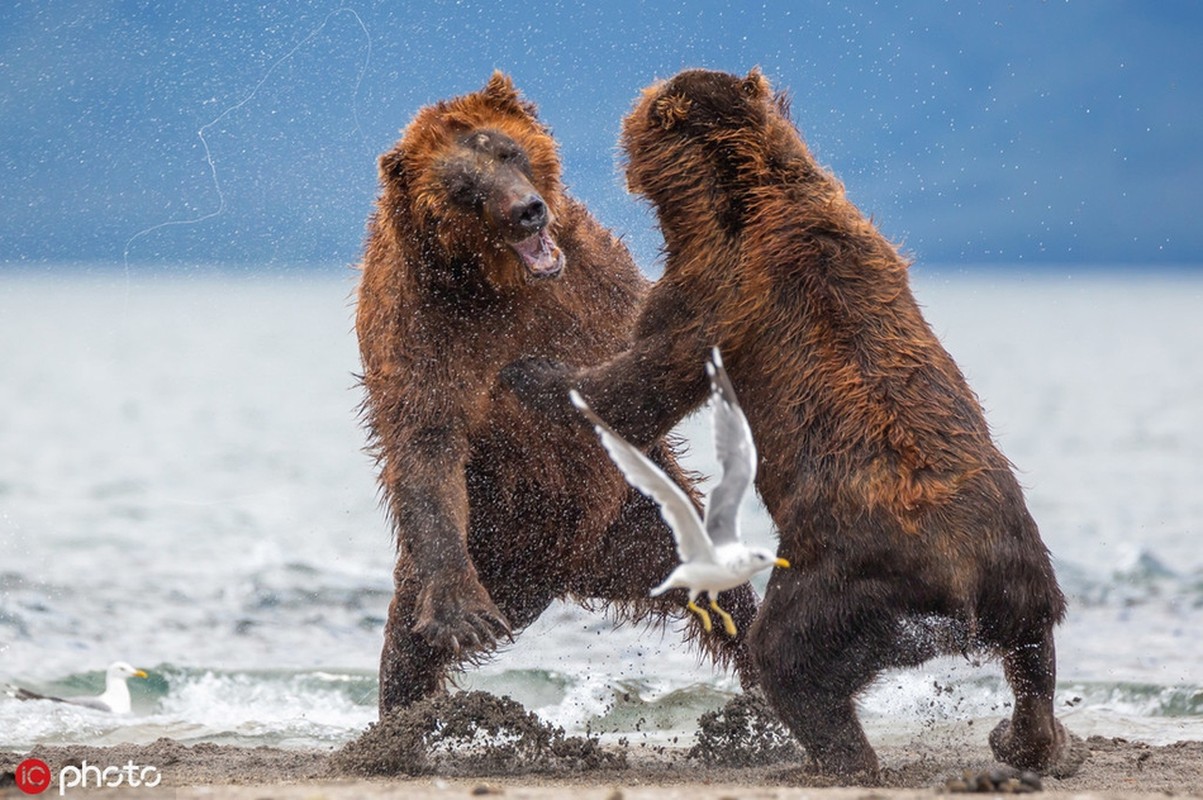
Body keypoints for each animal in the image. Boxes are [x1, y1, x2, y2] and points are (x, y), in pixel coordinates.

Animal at [351, 71, 755, 712]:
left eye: (507, 151)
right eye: (464, 188)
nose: (526, 210)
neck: (500, 283)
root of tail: (562, 573)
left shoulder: (596, 290)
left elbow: (647, 369)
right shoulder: (420, 320)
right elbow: (426, 439)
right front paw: (462, 617)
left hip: (640, 521)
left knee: (725, 597)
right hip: (487, 537)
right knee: (409, 643)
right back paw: (404, 712)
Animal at [502, 70, 1077, 779]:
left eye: (644, 104)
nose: (631, 114)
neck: (743, 196)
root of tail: (957, 578)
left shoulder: (713, 296)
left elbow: (638, 383)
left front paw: (529, 371)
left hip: (839, 571)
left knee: (786, 651)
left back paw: (837, 756)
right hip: (1017, 561)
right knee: (1034, 652)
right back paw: (1030, 740)